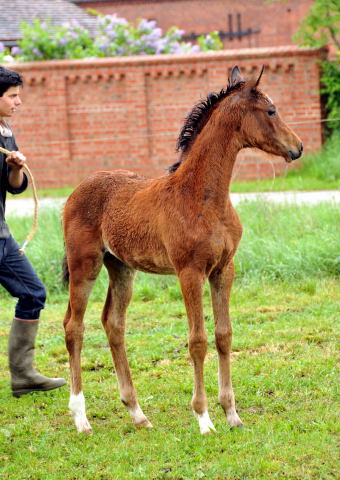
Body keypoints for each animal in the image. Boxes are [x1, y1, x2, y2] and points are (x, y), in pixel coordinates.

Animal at [63, 65, 302, 436]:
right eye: (272, 111)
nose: (298, 147)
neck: (202, 196)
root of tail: (75, 191)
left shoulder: (224, 270)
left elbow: (224, 335)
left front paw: (232, 414)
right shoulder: (189, 272)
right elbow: (197, 341)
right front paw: (204, 418)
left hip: (121, 268)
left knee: (113, 323)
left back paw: (137, 413)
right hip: (84, 264)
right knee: (74, 327)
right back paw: (81, 417)